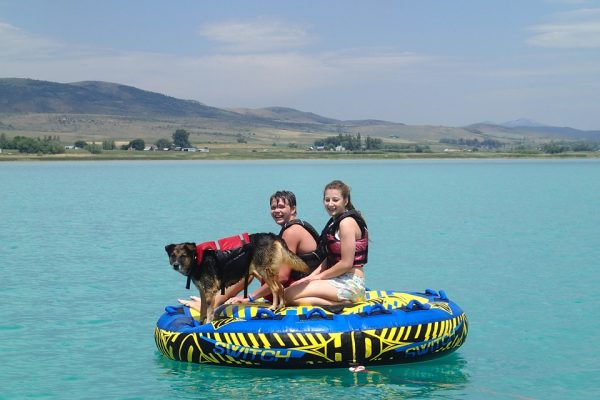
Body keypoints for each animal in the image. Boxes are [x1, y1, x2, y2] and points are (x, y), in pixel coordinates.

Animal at [165, 233, 310, 324]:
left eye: (183, 256)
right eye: (173, 255)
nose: (175, 265)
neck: (197, 259)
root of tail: (273, 236)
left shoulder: (210, 292)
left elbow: (210, 311)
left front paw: (207, 324)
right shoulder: (203, 291)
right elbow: (202, 309)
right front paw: (200, 323)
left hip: (263, 271)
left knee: (275, 289)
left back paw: (273, 307)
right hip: (271, 272)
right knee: (281, 287)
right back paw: (281, 305)